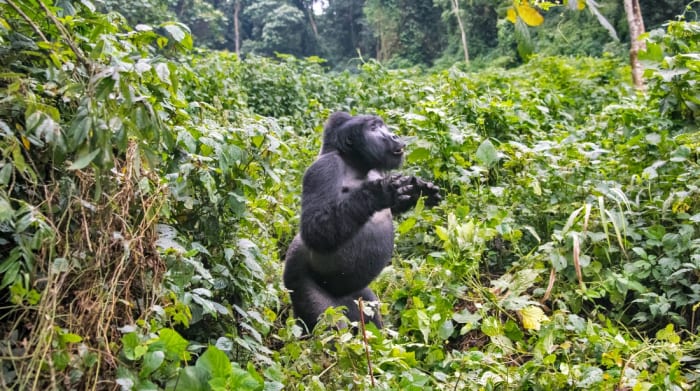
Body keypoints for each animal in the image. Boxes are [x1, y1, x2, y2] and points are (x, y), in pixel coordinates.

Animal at [282, 112, 440, 332]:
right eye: (373, 128)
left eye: (382, 126)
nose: (393, 135)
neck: (355, 163)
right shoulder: (323, 169)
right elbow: (314, 229)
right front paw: (378, 193)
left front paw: (417, 192)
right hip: (297, 280)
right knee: (331, 328)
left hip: (356, 297)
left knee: (370, 314)